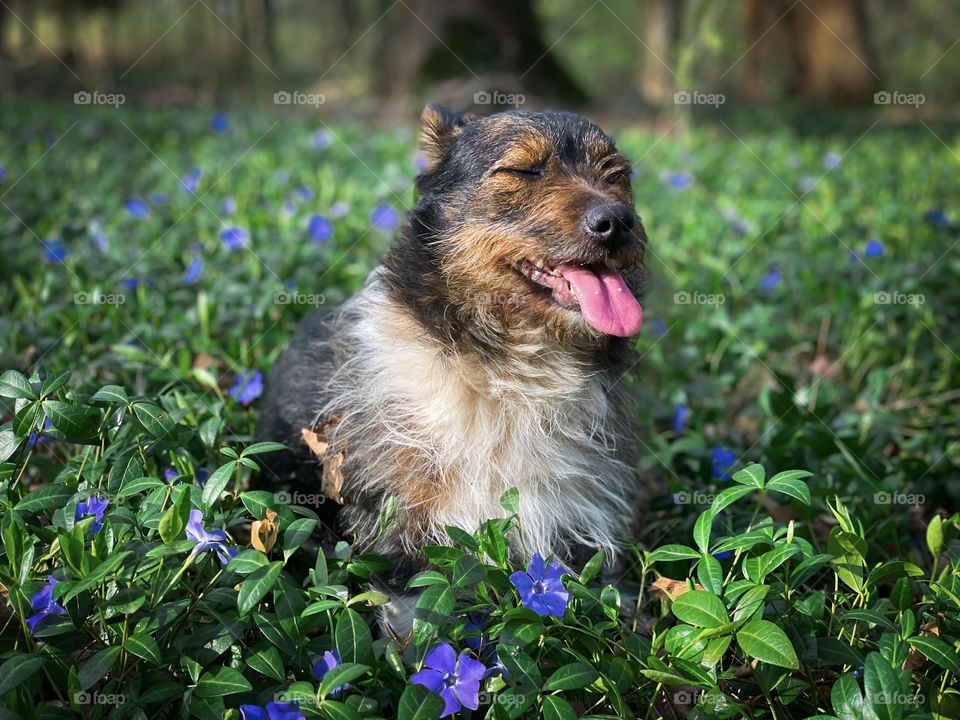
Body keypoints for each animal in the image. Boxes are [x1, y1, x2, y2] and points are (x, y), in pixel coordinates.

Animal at [255, 104, 648, 640]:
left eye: (617, 174)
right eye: (523, 171)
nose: (618, 221)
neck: (506, 367)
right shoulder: (401, 508)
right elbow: (410, 595)